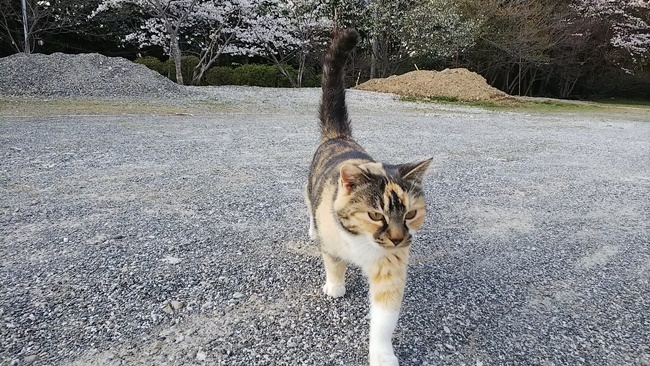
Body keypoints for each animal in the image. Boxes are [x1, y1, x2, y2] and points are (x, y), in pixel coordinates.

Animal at [306, 28, 430, 366]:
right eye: (376, 215)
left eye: (410, 214)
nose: (399, 238)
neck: (361, 243)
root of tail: (339, 137)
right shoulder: (333, 242)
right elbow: (333, 263)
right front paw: (335, 286)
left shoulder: (391, 268)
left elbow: (385, 319)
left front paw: (382, 354)